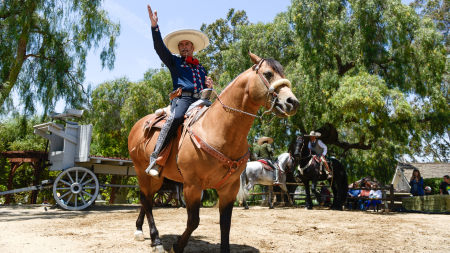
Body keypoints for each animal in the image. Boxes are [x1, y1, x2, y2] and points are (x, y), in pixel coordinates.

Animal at [127, 52, 298, 252]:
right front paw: (177, 246)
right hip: (142, 172)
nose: (292, 102)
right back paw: (156, 240)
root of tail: (139, 125)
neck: (218, 129)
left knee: (146, 199)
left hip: (157, 178)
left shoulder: (229, 188)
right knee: (146, 200)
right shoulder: (192, 185)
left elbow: (225, 223)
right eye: (268, 73)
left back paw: (140, 229)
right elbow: (193, 220)